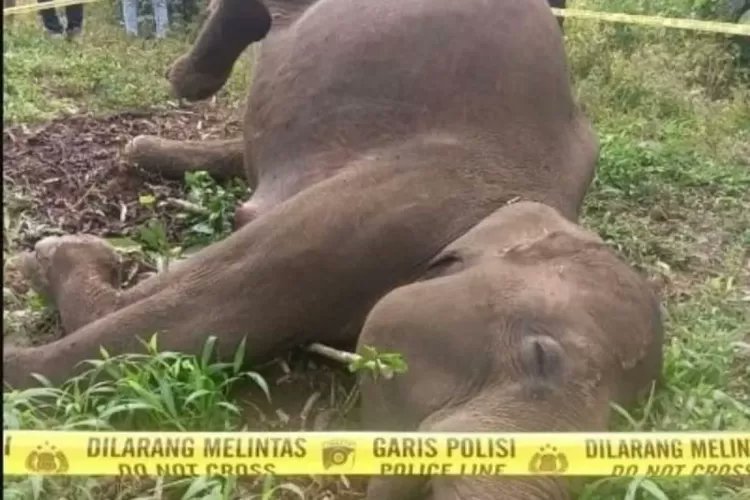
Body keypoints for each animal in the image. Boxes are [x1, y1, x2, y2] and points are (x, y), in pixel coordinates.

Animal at [3, 0, 663, 497]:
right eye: (540, 354)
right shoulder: (387, 205)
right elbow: (188, 313)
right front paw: (49, 260)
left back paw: (148, 147)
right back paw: (183, 82)